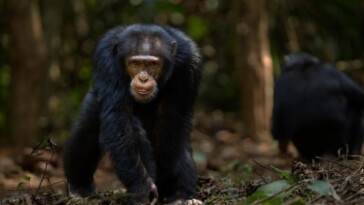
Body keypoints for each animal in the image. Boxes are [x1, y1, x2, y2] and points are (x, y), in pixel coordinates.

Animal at [63, 24, 203, 205]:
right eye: (135, 63)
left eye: (152, 65)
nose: (143, 78)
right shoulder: (106, 59)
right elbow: (122, 118)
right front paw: (145, 187)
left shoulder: (189, 64)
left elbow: (171, 119)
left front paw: (166, 186)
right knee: (87, 129)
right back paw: (79, 188)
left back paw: (183, 196)